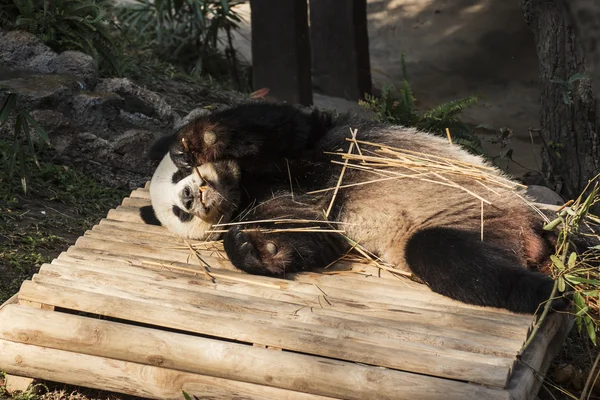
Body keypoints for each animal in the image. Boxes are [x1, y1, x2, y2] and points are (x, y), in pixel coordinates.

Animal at [142, 101, 568, 314]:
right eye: (180, 213)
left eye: (180, 179)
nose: (192, 196)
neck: (244, 186)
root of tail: (530, 238)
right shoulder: (279, 206)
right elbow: (311, 237)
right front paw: (258, 248)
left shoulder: (313, 151)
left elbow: (289, 128)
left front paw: (193, 143)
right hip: (484, 228)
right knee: (452, 258)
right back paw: (544, 291)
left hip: (494, 206)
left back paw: (549, 293)